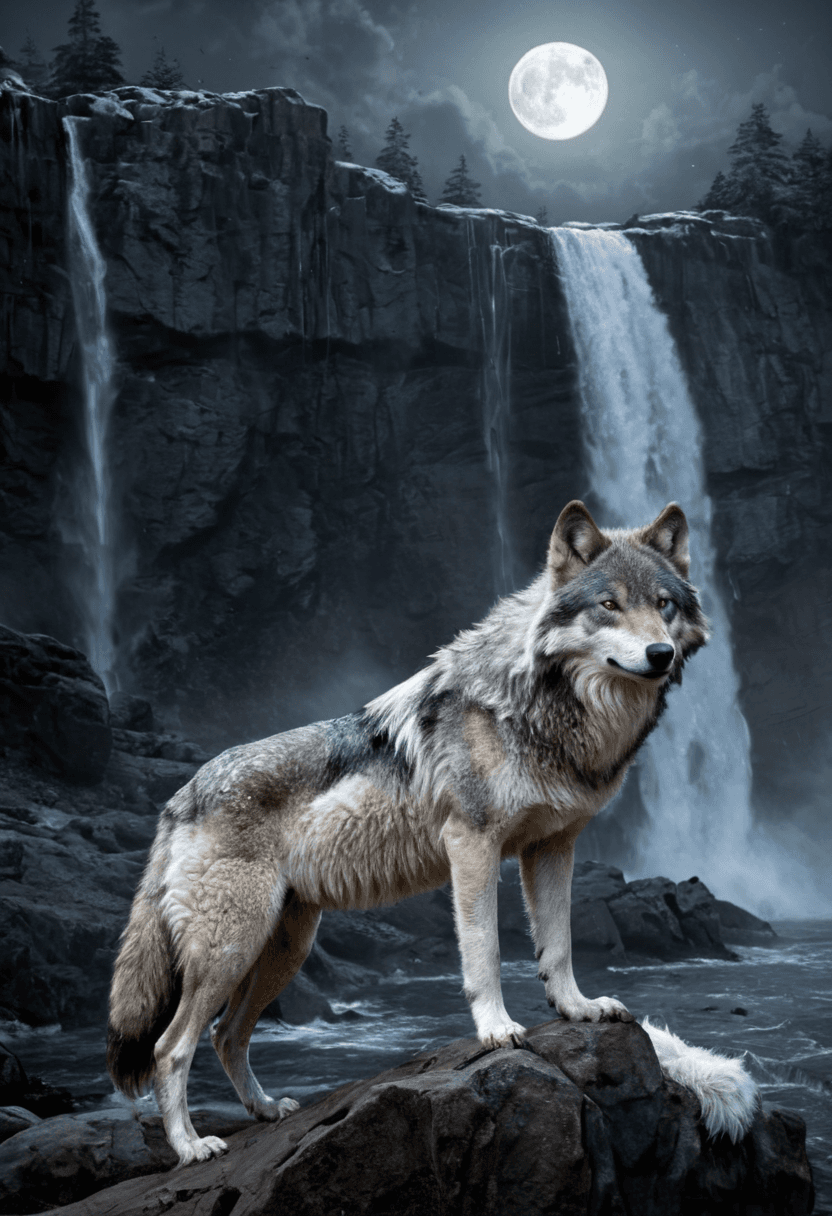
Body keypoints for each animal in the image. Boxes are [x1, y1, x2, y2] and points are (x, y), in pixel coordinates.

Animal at [108, 500, 757, 1165]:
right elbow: (485, 950)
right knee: (170, 1048)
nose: (659, 654)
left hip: (282, 948)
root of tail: (179, 797)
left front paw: (577, 1008)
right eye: (608, 604)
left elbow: (557, 944)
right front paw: (496, 1029)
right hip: (231, 949)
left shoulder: (552, 847)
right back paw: (191, 1146)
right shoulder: (473, 845)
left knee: (225, 1035)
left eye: (664, 604)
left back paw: (265, 1111)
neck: (538, 708)